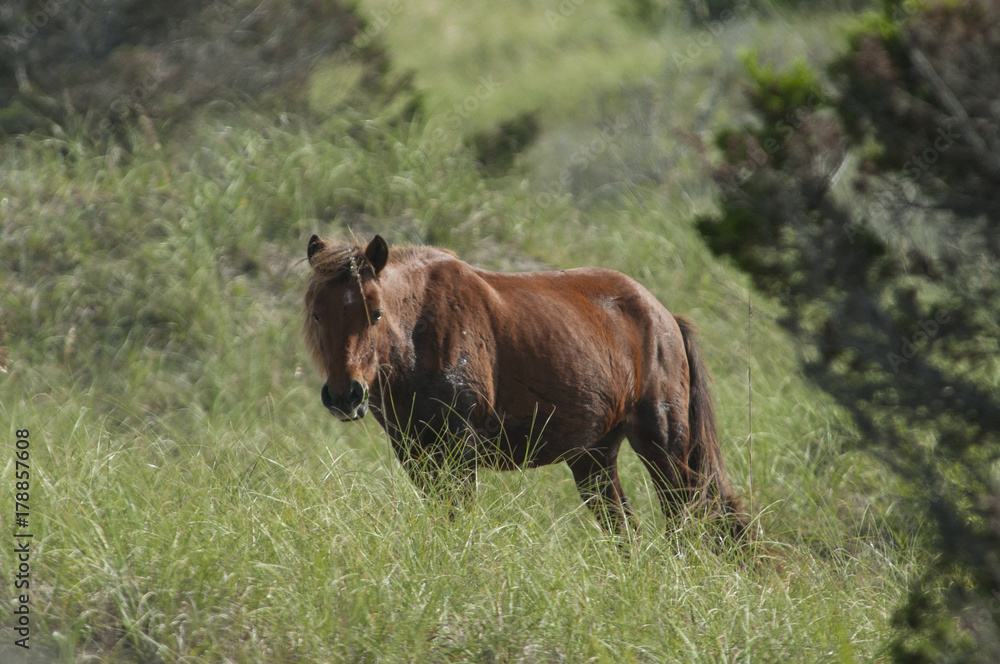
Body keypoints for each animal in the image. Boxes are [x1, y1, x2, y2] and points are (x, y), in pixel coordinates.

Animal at [303, 234, 748, 542]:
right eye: (317, 314)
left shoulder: (460, 449)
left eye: (375, 313)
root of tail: (664, 315)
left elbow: (457, 517)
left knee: (684, 521)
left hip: (663, 446)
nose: (345, 396)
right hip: (594, 458)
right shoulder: (415, 451)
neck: (420, 331)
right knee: (628, 530)